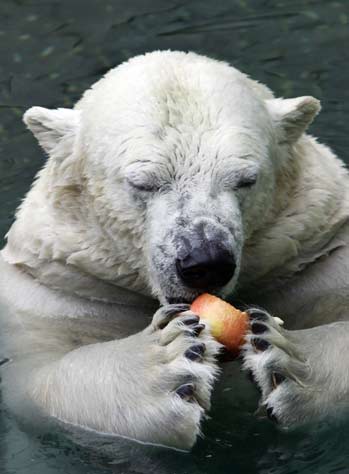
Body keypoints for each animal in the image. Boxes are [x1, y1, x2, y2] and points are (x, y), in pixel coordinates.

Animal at [0, 50, 348, 450]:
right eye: (143, 182)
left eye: (246, 179)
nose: (205, 262)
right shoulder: (60, 290)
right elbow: (38, 379)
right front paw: (165, 360)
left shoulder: (317, 255)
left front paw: (286, 353)